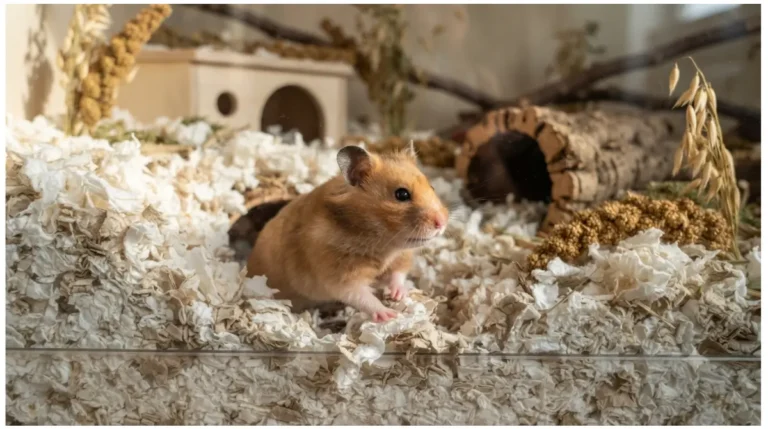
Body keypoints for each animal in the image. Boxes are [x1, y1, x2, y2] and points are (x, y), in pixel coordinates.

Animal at [246, 143, 450, 322]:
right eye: (401, 194)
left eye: (431, 187)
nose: (442, 223)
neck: (382, 242)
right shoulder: (339, 274)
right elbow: (360, 296)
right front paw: (389, 315)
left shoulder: (401, 256)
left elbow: (398, 274)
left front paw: (397, 295)